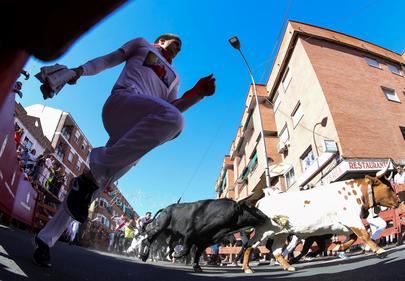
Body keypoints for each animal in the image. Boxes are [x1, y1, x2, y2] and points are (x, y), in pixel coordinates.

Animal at [139, 197, 268, 272]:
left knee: (162, 243)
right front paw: (178, 255)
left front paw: (196, 266)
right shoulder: (190, 235)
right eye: (250, 207)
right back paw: (144, 256)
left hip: (172, 235)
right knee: (148, 240)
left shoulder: (204, 242)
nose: (266, 217)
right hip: (159, 228)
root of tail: (166, 209)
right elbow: (186, 250)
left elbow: (197, 254)